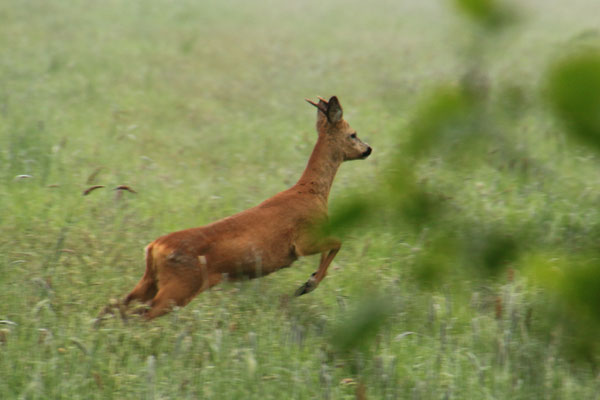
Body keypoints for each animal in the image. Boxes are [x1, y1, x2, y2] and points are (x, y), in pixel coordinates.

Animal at [96, 96, 370, 322]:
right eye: (353, 134)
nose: (368, 149)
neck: (312, 192)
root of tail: (153, 247)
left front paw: (309, 281)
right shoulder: (304, 241)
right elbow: (338, 242)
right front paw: (308, 285)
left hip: (150, 281)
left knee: (114, 306)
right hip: (179, 287)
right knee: (139, 316)